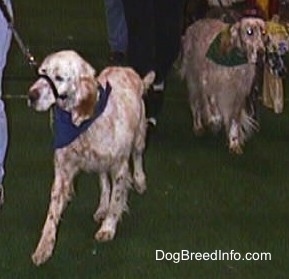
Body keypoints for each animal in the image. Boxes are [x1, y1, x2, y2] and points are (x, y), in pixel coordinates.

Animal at [27, 50, 154, 266]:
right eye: (42, 72)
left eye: (59, 77)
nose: (31, 95)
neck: (83, 124)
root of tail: (127, 70)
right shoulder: (63, 171)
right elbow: (52, 212)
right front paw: (44, 247)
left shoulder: (119, 167)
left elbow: (116, 200)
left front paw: (108, 228)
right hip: (100, 163)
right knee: (104, 183)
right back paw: (101, 207)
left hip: (138, 137)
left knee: (137, 157)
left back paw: (139, 181)